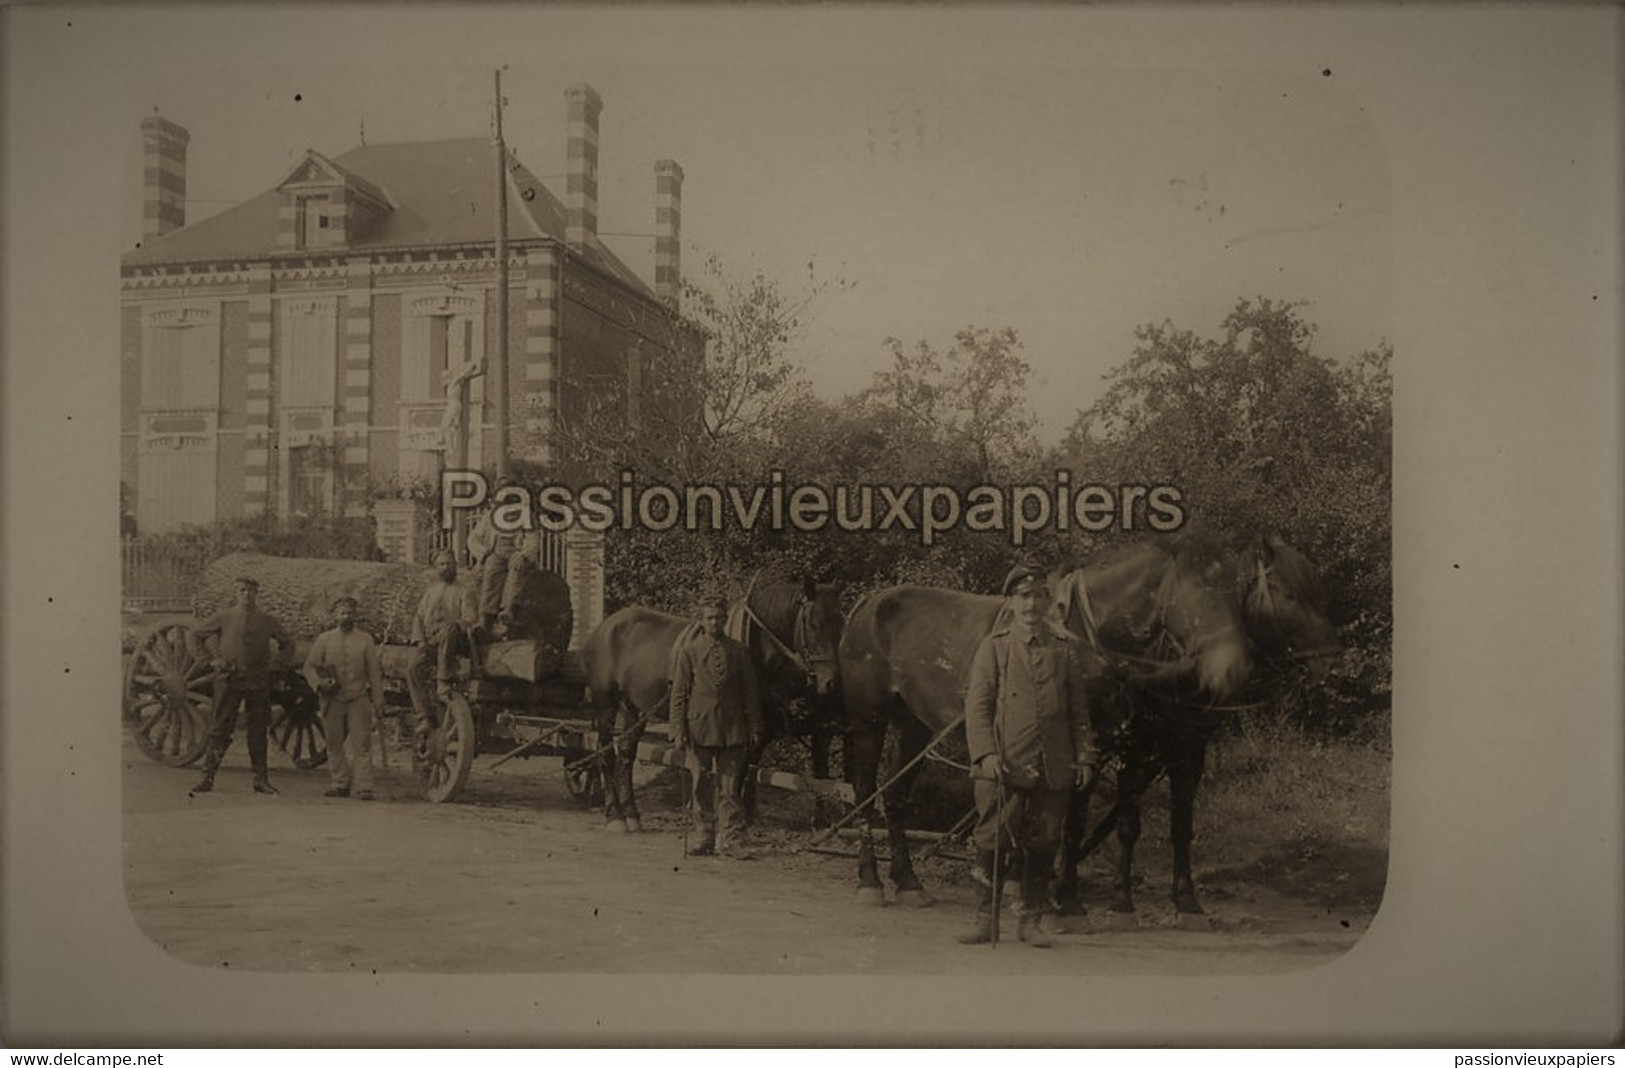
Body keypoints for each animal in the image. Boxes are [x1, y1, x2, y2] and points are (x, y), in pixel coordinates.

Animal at [838, 536, 1332, 903]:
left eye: (1236, 599)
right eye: (1287, 594)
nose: (1231, 671)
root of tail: (868, 602)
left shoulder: (1169, 743)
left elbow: (1172, 822)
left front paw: (1179, 900)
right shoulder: (1110, 741)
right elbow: (1079, 820)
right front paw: (1069, 896)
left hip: (913, 726)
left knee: (895, 798)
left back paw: (908, 881)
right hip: (868, 721)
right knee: (865, 794)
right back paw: (870, 880)